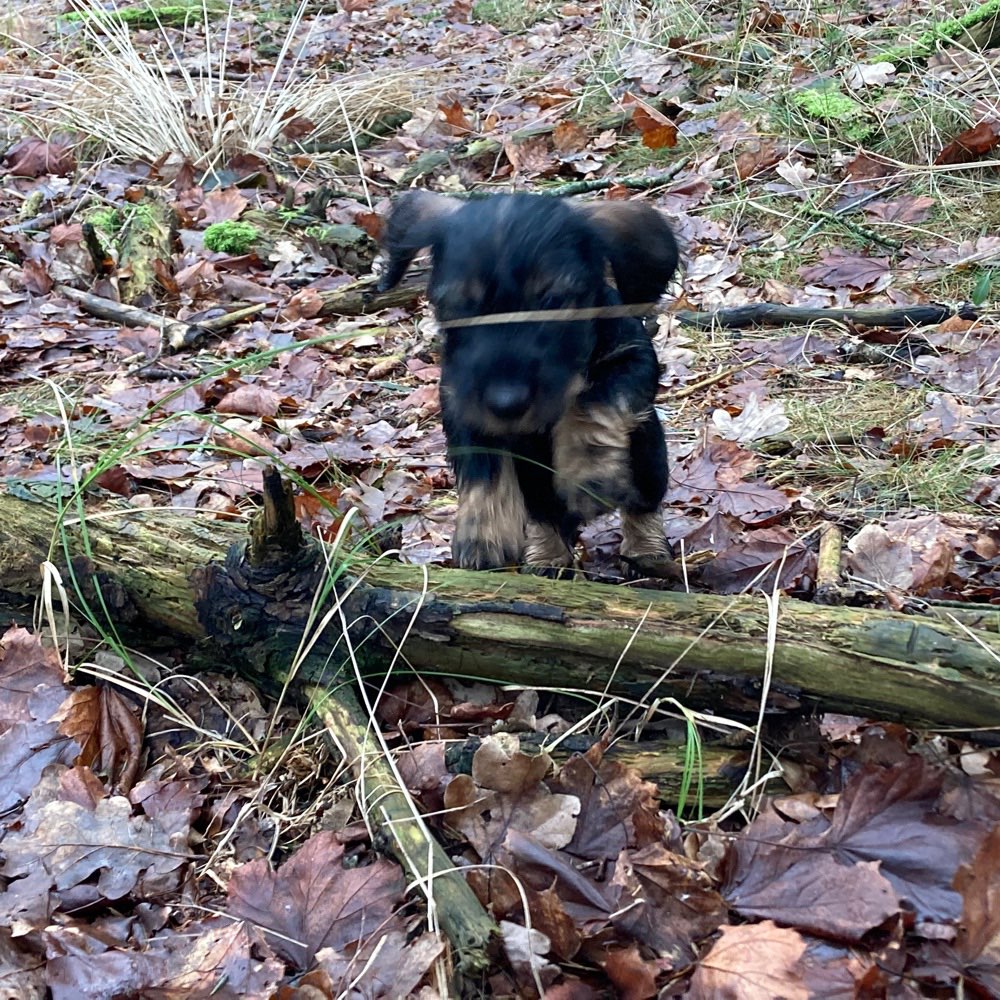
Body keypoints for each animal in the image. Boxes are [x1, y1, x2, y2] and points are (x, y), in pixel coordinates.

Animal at [376, 191, 680, 576]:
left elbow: (593, 401)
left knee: (644, 502)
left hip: (648, 455)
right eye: (456, 306)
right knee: (544, 515)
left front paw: (588, 471)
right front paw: (482, 530)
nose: (506, 402)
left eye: (555, 300)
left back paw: (646, 551)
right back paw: (546, 557)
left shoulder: (632, 361)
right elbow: (482, 460)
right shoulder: (461, 400)